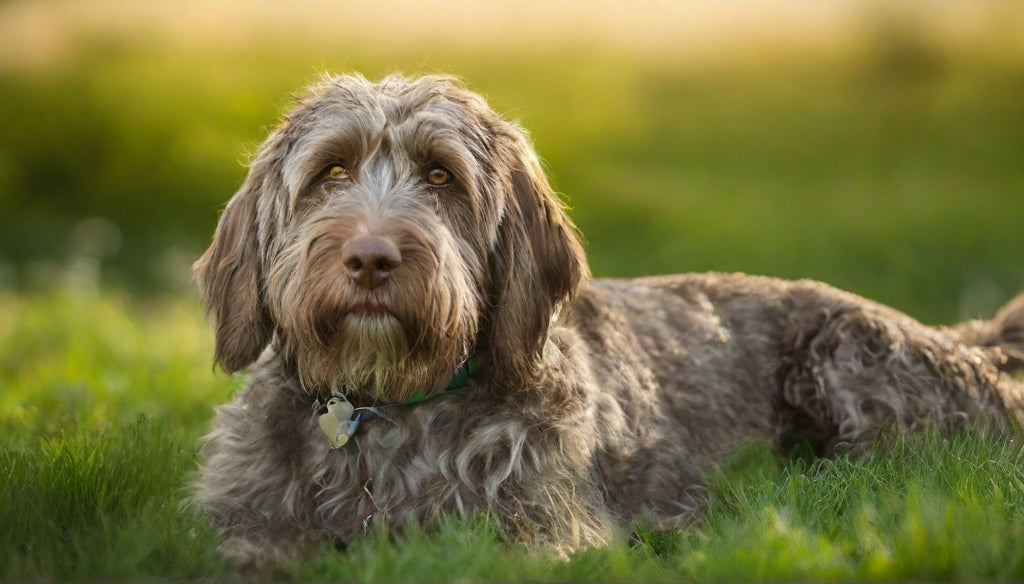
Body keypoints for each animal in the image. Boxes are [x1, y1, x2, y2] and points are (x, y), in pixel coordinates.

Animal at [190, 72, 1024, 565]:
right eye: (331, 171)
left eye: (441, 176)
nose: (369, 259)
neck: (386, 409)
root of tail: (973, 346)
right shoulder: (246, 530)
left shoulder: (546, 535)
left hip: (847, 349)